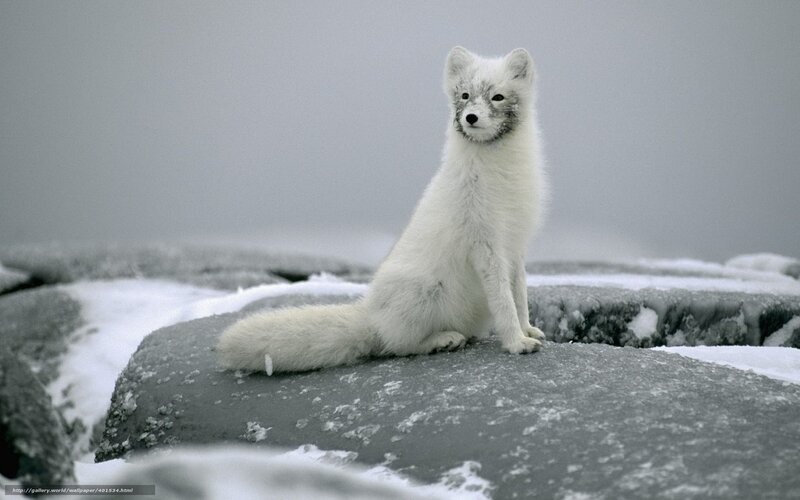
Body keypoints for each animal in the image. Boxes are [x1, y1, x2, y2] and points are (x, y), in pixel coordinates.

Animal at [217, 46, 548, 374]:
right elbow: (504, 301)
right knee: (398, 345)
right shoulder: (485, 244)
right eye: (465, 95)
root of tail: (371, 315)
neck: (500, 172)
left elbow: (519, 295)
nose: (471, 117)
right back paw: (442, 340)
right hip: (423, 292)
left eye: (497, 97)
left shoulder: (515, 245)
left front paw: (527, 329)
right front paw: (516, 342)